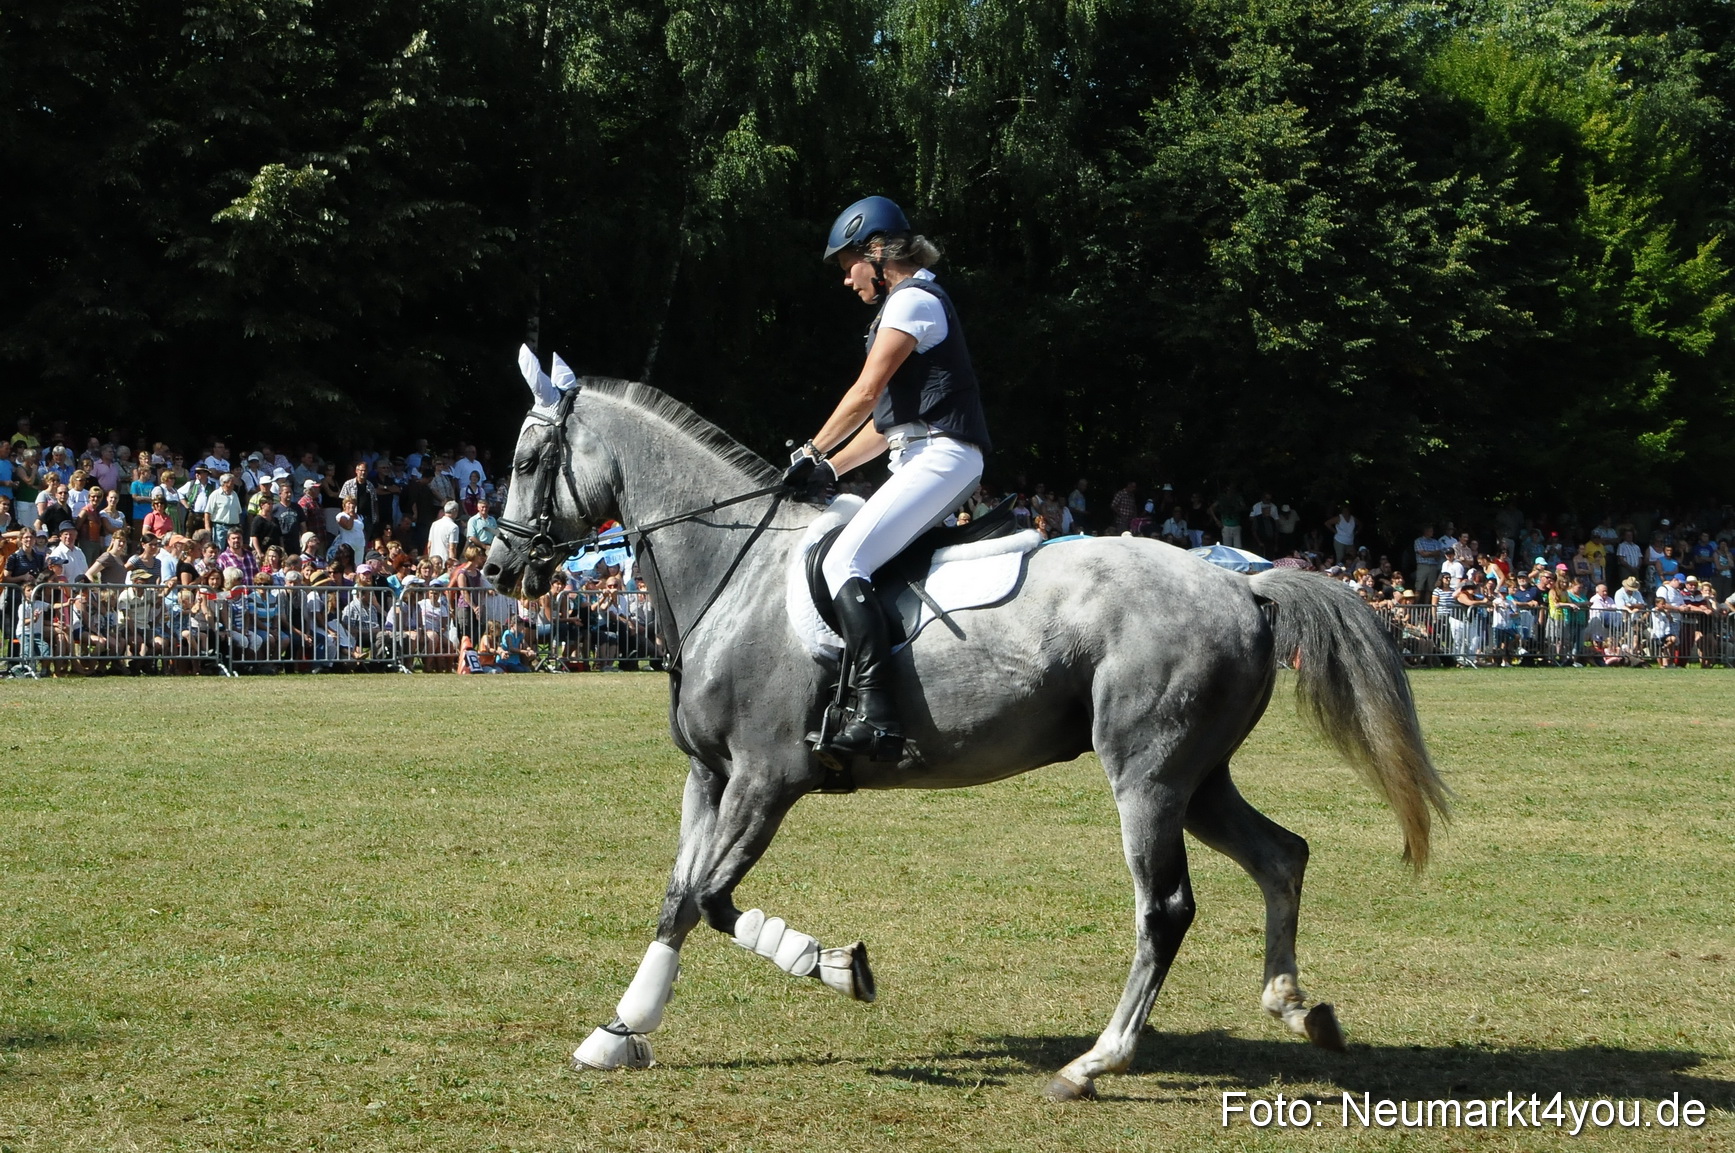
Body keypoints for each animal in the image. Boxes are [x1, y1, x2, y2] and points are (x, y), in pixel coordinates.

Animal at [483, 375, 1448, 1101]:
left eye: (529, 459)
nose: (500, 568)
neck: (735, 569)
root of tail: (1241, 583)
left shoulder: (766, 777)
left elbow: (713, 900)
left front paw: (836, 965)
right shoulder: (709, 776)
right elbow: (677, 896)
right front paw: (621, 1028)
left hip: (1147, 776)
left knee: (1166, 907)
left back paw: (1094, 1063)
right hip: (1198, 776)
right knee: (1281, 856)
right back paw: (1297, 1008)